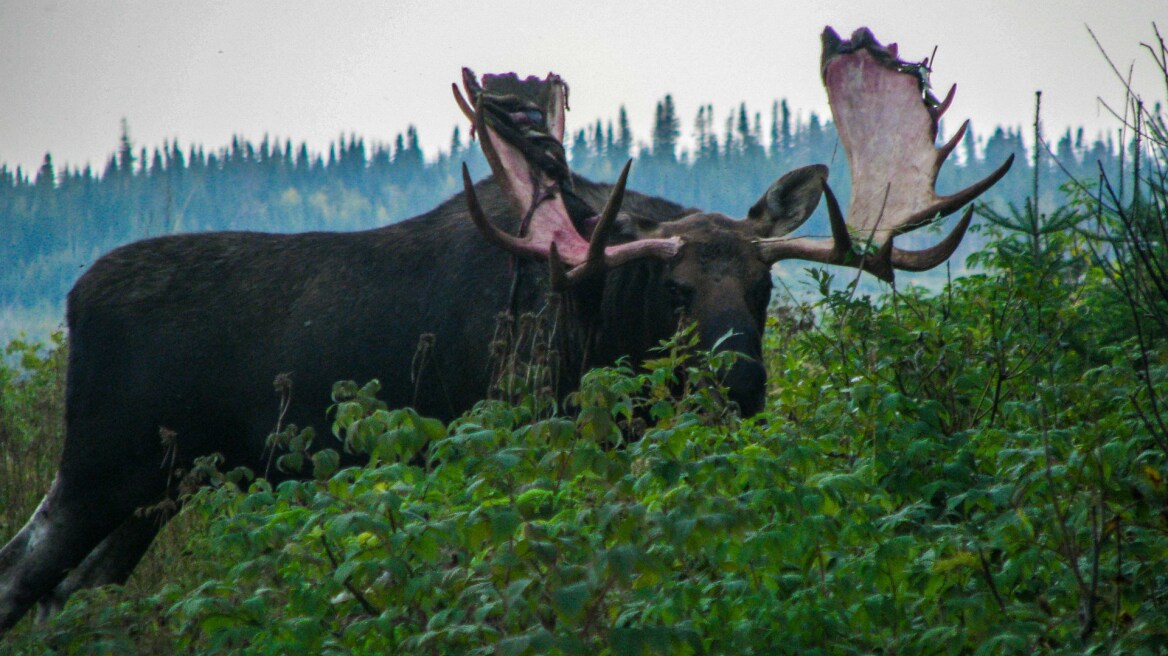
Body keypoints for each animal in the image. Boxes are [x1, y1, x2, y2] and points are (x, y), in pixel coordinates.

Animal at [0, 25, 1009, 630]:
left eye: (764, 287)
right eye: (675, 287)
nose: (740, 380)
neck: (594, 328)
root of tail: (72, 301)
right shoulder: (496, 443)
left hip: (160, 489)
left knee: (72, 597)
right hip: (100, 466)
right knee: (22, 577)